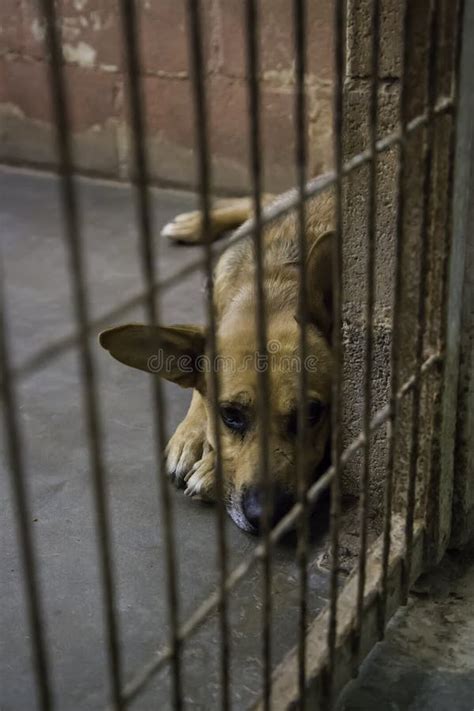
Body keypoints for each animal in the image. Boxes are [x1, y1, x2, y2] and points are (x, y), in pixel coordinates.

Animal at [98, 189, 334, 536]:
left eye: (312, 414)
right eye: (230, 415)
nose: (267, 517)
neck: (274, 285)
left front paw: (211, 469)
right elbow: (199, 392)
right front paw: (193, 438)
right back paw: (193, 224)